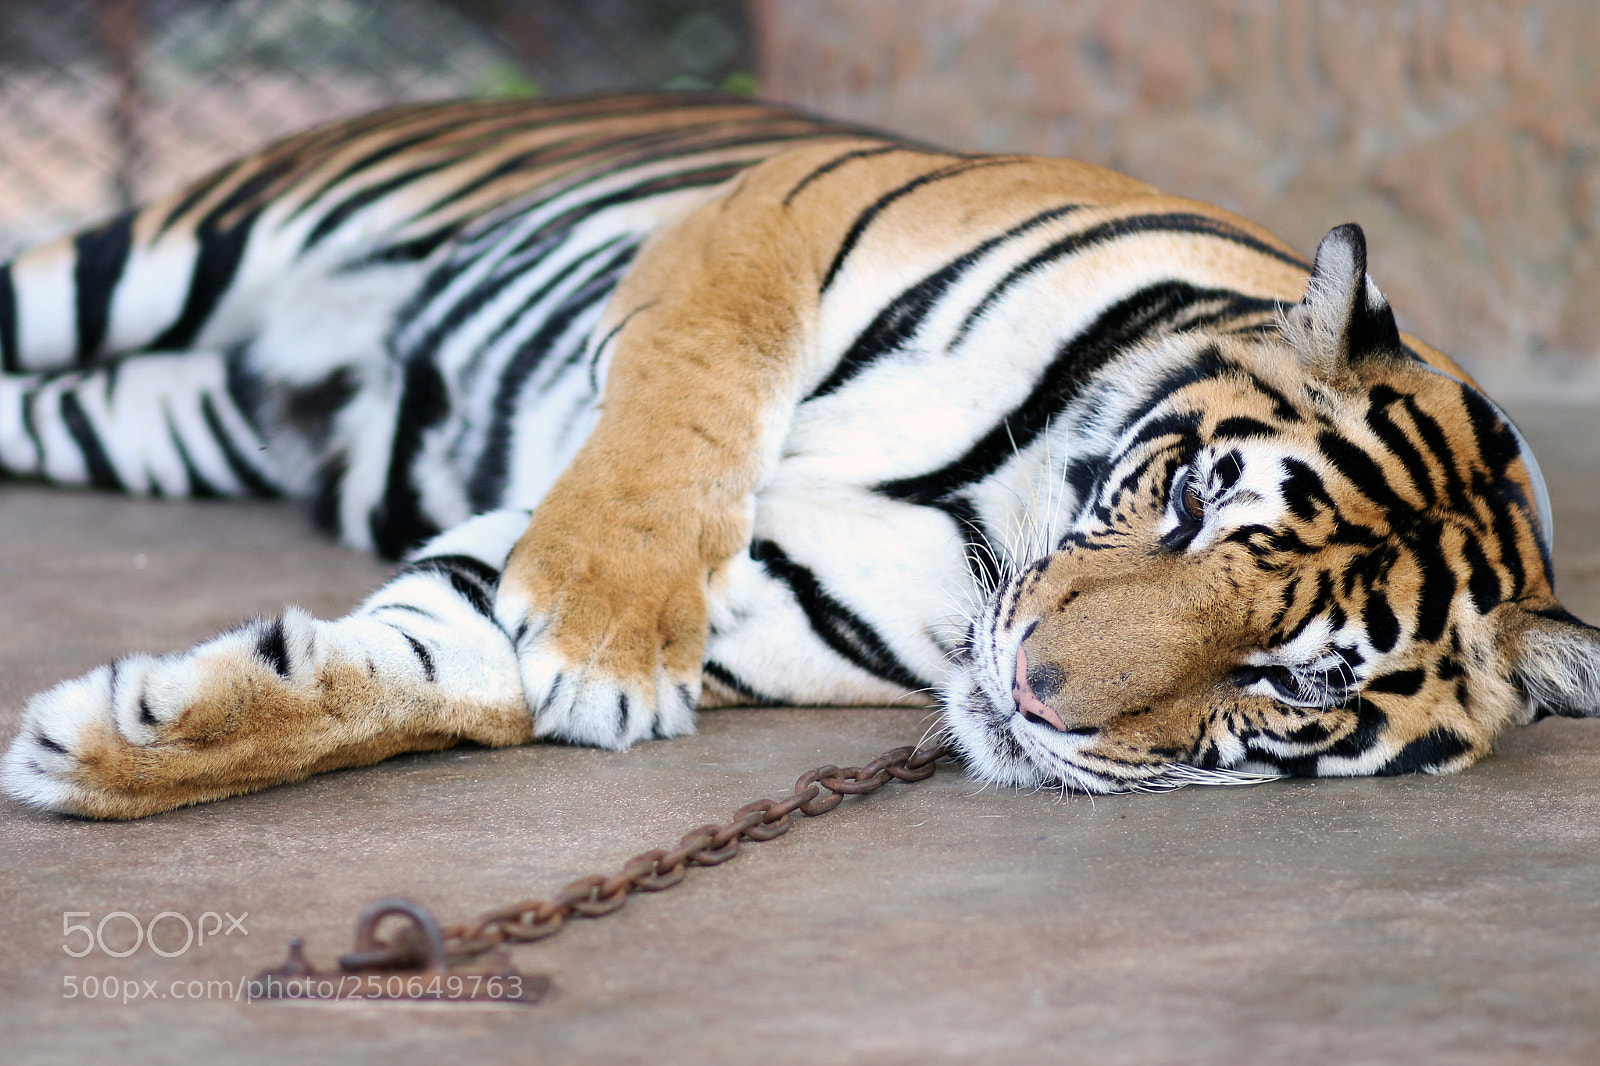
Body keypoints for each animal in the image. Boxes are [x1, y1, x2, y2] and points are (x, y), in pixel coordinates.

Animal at [1, 93, 1596, 820]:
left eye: (1292, 682)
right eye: (1199, 496)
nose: (1035, 693)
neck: (1002, 500)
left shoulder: (777, 596)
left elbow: (402, 679)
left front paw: (117, 746)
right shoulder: (791, 207)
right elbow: (683, 413)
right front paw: (606, 635)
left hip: (153, 417)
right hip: (158, 257)